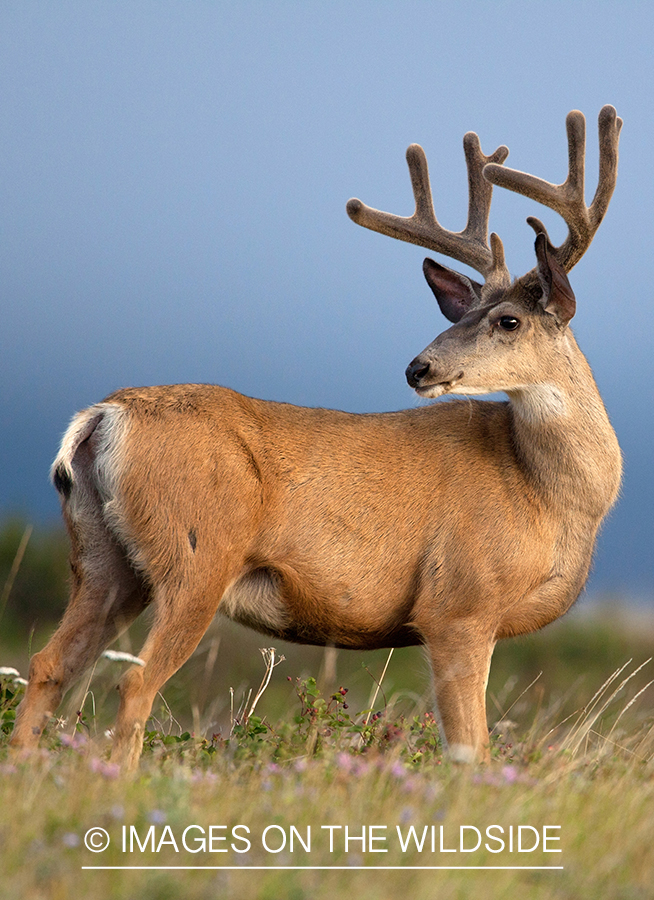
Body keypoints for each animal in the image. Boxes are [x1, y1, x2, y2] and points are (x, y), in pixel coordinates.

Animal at [11, 106, 622, 771]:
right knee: (133, 679)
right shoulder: (458, 604)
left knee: (47, 664)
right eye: (461, 316)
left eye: (507, 320)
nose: (418, 369)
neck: (549, 497)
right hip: (197, 552)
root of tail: (102, 415)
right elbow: (470, 748)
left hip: (102, 559)